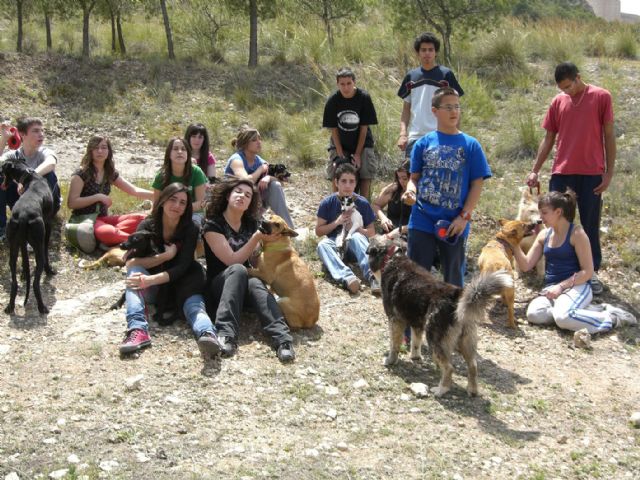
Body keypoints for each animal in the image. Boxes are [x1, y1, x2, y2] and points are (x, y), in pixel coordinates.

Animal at [0, 158, 55, 316]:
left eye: (2, 168)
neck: (30, 176)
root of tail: (23, 216)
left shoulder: (21, 242)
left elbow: (24, 261)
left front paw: (24, 274)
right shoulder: (48, 224)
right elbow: (46, 251)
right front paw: (49, 270)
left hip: (12, 247)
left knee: (14, 282)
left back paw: (10, 306)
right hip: (37, 246)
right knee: (36, 284)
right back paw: (42, 307)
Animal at [368, 234, 512, 396]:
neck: (392, 258)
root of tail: (457, 296)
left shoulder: (395, 321)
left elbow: (394, 344)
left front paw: (390, 361)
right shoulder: (417, 324)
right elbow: (415, 343)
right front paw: (415, 357)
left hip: (435, 338)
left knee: (449, 367)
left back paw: (441, 389)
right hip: (466, 341)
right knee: (473, 366)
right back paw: (472, 390)